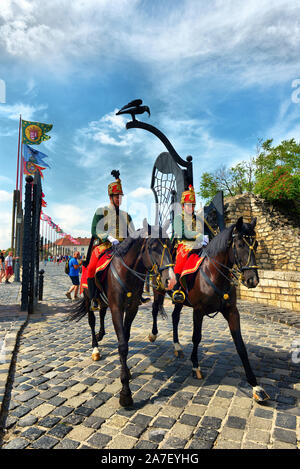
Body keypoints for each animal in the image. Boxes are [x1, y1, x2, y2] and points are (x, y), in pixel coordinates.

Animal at [67, 219, 176, 406]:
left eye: (170, 245)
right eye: (153, 246)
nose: (171, 280)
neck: (127, 273)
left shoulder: (131, 308)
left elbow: (125, 336)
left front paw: (126, 371)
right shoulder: (117, 308)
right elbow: (123, 345)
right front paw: (125, 392)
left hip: (104, 302)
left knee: (102, 314)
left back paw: (101, 334)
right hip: (89, 299)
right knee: (92, 321)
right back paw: (95, 348)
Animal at [148, 216, 270, 402]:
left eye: (255, 244)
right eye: (240, 244)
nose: (252, 280)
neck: (214, 273)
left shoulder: (232, 311)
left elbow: (240, 345)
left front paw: (256, 386)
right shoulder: (198, 311)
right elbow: (196, 337)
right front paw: (195, 366)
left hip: (179, 301)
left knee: (175, 317)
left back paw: (177, 347)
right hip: (158, 290)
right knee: (155, 309)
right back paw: (153, 335)